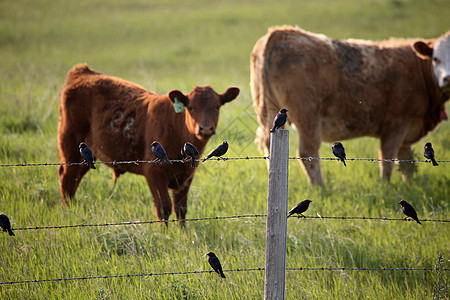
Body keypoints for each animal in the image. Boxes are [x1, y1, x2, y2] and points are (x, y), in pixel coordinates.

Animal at [58, 64, 239, 221]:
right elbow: (163, 208)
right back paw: (69, 213)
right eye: (191, 107)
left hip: (86, 155)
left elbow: (181, 209)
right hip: (70, 147)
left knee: (75, 180)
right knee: (67, 179)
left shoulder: (186, 176)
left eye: (217, 106)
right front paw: (165, 235)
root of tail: (82, 71)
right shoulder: (154, 173)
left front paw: (183, 235)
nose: (206, 128)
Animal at [251, 26, 450, 185]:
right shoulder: (396, 124)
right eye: (436, 59)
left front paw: (409, 185)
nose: (447, 78)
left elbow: (407, 163)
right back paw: (321, 188)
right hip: (307, 116)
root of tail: (277, 33)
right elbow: (387, 159)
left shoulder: (406, 133)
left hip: (270, 110)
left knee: (268, 143)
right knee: (308, 153)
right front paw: (385, 186)